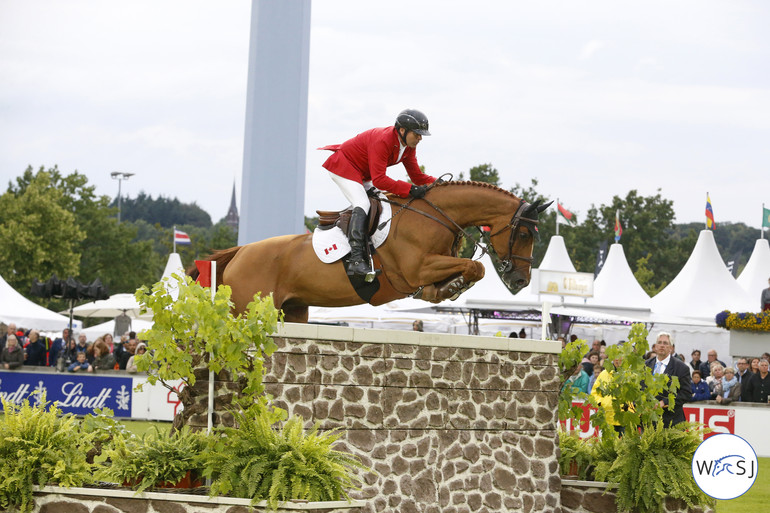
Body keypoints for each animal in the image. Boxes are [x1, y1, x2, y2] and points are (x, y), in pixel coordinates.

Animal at [195, 180, 548, 322]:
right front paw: (449, 288)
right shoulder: (416, 268)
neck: (433, 215)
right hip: (247, 310)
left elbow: (472, 268)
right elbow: (476, 267)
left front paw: (445, 289)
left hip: (294, 310)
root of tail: (239, 253)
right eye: (525, 234)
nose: (521, 281)